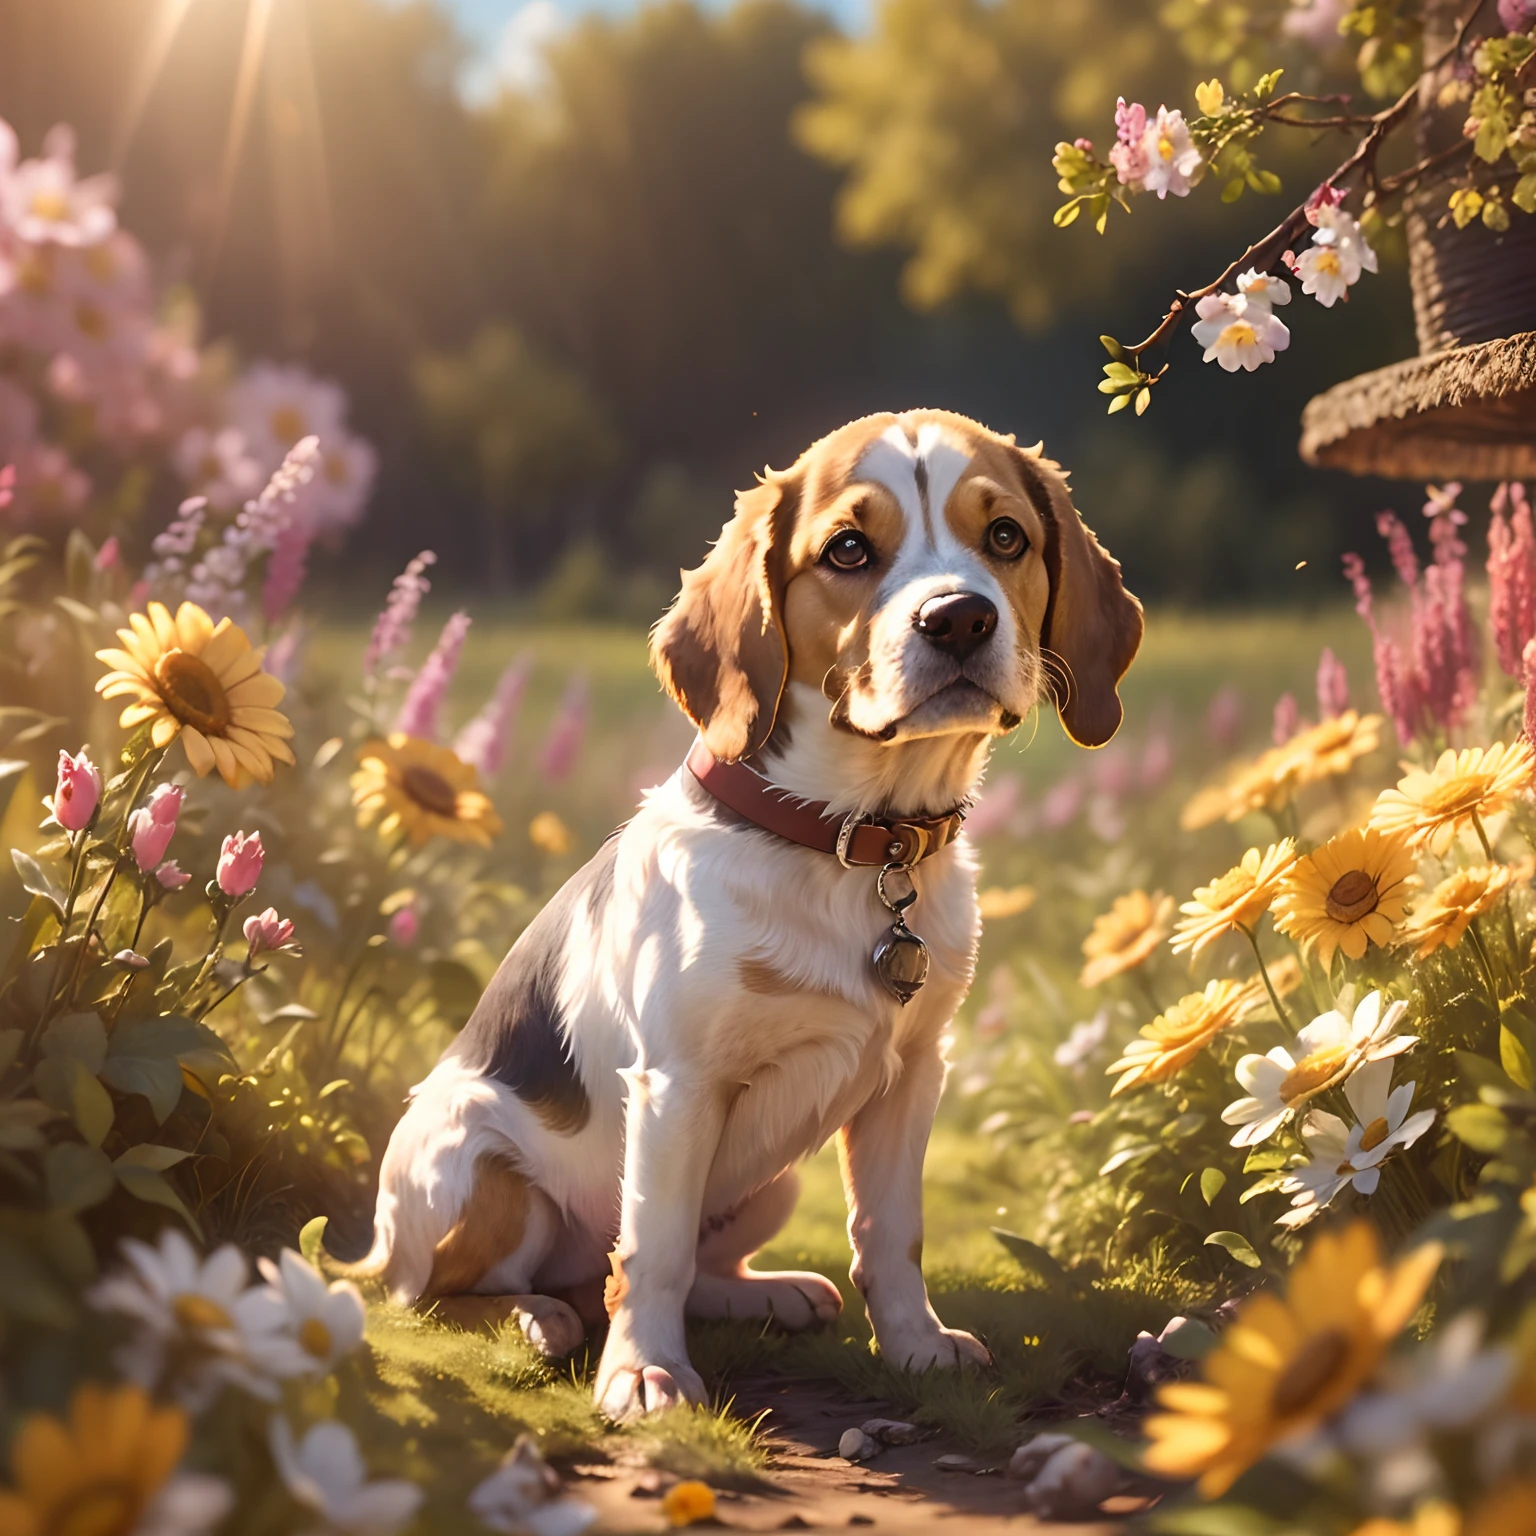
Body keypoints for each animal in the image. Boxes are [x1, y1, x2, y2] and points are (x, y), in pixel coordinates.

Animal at [351, 405, 1142, 1413]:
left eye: (1005, 537)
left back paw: (772, 1295)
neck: (853, 838)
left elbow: (891, 1232)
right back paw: (536, 1318)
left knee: (666, 1269)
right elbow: (652, 1252)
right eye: (848, 549)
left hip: (774, 1185)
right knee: (450, 1296)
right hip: (476, 1164)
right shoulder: (678, 1087)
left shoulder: (914, 1073)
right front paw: (644, 1372)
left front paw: (916, 1347)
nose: (960, 618)